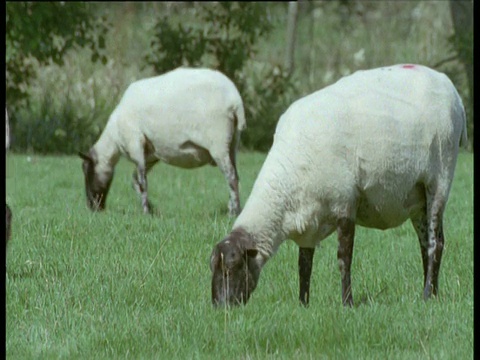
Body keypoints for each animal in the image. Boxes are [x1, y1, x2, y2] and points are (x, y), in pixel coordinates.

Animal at [78, 67, 246, 217]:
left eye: (87, 172)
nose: (92, 207)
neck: (114, 139)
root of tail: (235, 100)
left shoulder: (135, 144)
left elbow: (142, 182)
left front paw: (145, 212)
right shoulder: (150, 156)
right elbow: (135, 181)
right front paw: (151, 209)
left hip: (218, 144)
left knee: (231, 177)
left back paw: (234, 213)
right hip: (232, 144)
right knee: (235, 176)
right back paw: (234, 208)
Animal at [209, 64, 464, 306]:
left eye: (231, 268)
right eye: (213, 268)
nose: (220, 308)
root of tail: (451, 89)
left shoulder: (345, 204)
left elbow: (344, 259)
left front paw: (347, 303)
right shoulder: (307, 220)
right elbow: (304, 265)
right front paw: (303, 304)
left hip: (439, 180)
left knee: (435, 244)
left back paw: (426, 295)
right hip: (417, 198)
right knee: (425, 243)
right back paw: (432, 293)